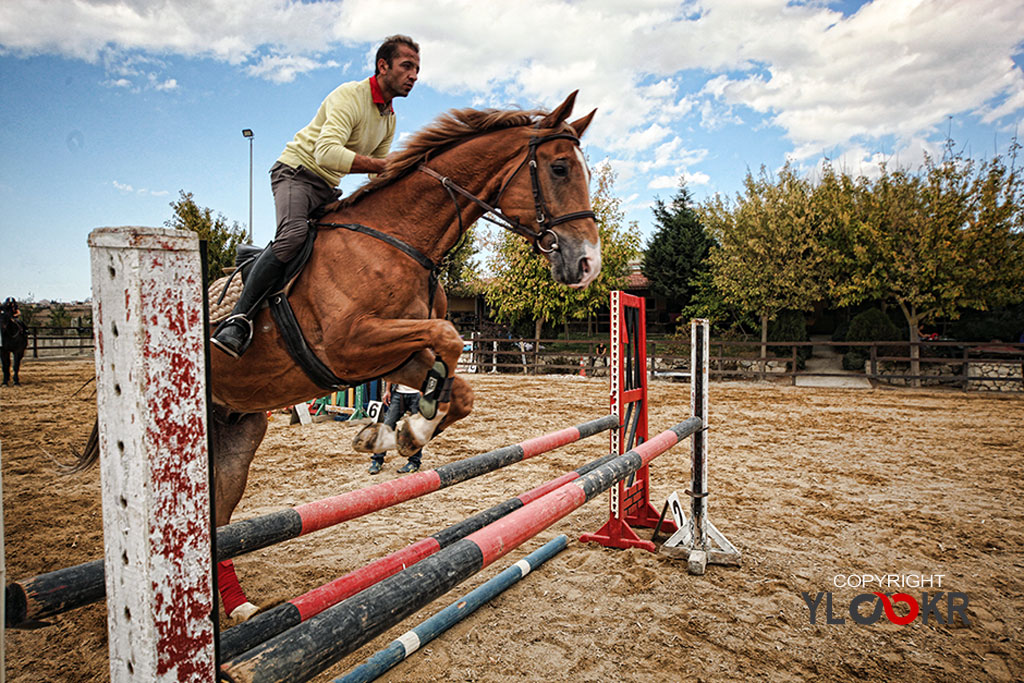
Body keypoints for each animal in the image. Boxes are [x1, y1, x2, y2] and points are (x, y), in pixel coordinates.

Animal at [77, 90, 598, 618]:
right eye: (559, 168)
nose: (587, 264)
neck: (401, 241)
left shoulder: (390, 353)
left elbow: (457, 385)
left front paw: (397, 434)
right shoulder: (349, 345)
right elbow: (450, 338)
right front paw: (402, 430)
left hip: (238, 429)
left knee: (220, 518)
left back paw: (236, 606)